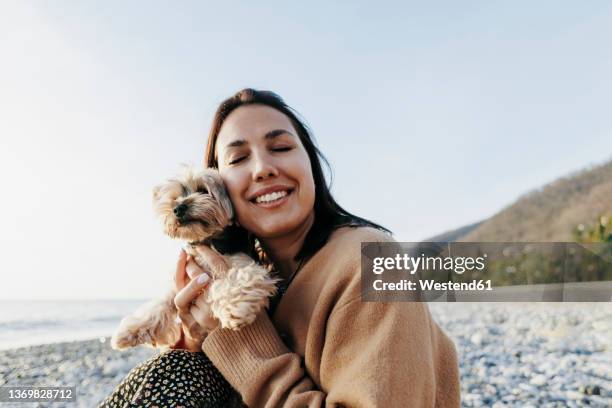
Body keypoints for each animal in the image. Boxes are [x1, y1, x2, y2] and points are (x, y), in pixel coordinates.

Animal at [111, 167, 278, 350]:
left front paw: (233, 309)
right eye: (175, 198)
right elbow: (159, 304)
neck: (206, 240)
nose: (178, 208)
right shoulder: (178, 286)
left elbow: (238, 280)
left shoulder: (244, 264)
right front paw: (131, 329)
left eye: (203, 190)